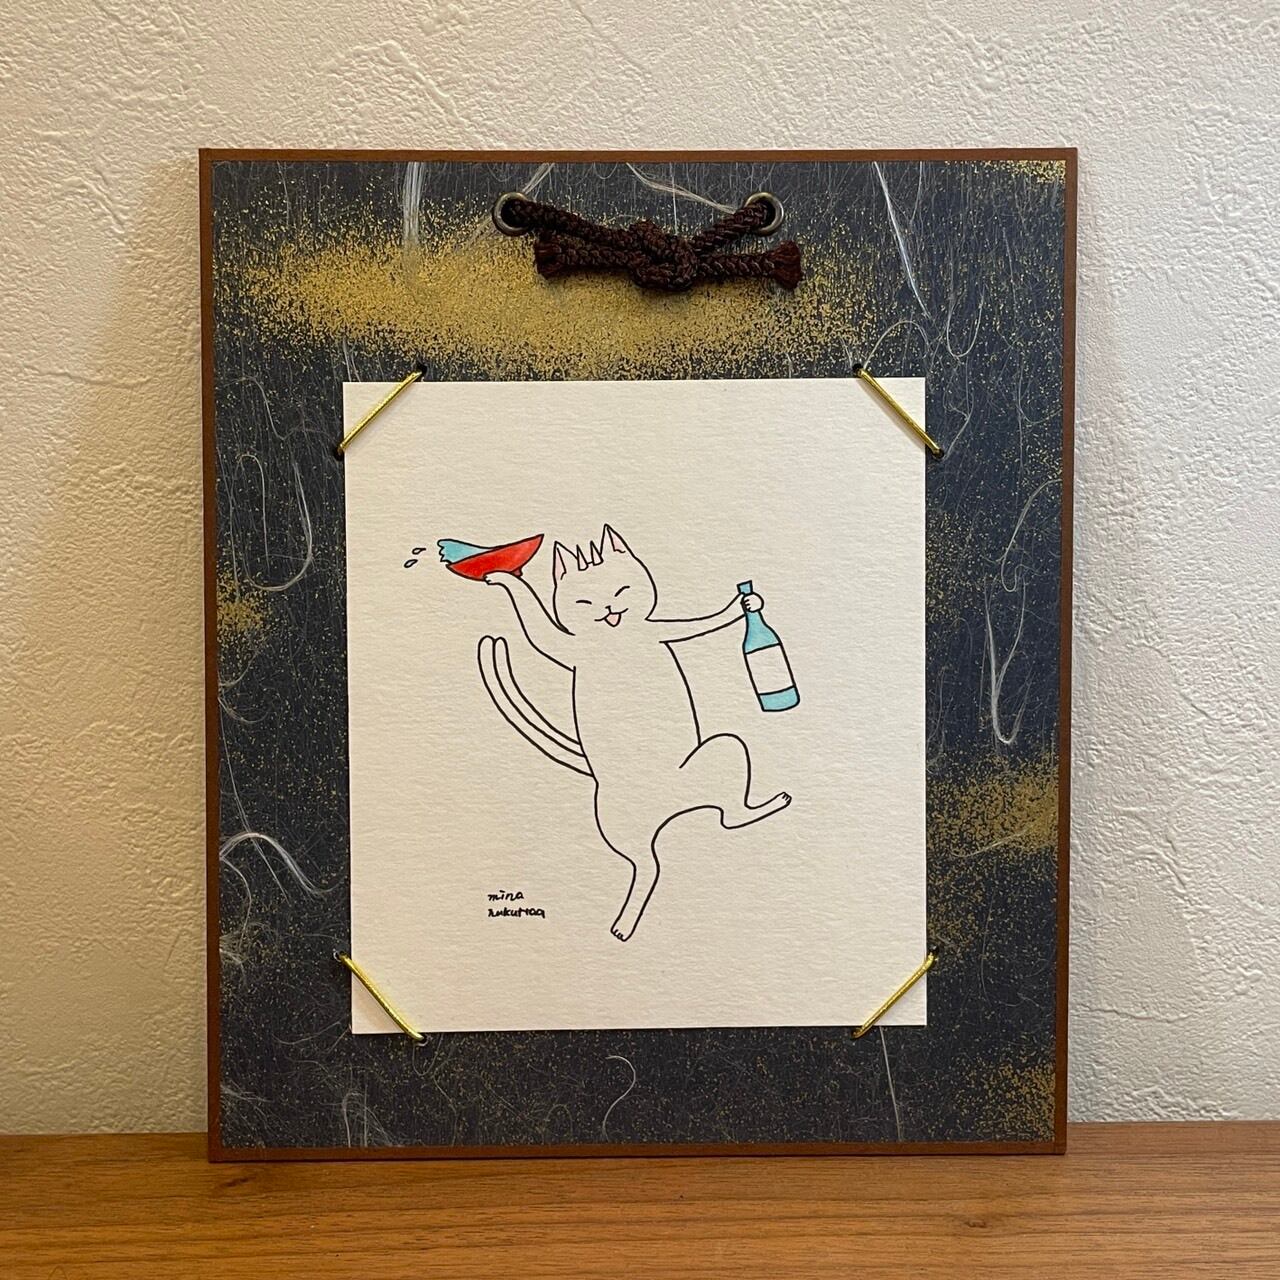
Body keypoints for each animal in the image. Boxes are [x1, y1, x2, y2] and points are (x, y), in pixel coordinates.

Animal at [477, 524, 790, 941]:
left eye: (622, 589)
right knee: (646, 866)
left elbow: (698, 624)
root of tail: (671, 810)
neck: (616, 637)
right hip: (617, 822)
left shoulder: (658, 629)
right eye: (584, 601)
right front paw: (502, 578)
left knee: (729, 817)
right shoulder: (567, 646)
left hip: (724, 752)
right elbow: (537, 627)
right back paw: (624, 925)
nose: (610, 610)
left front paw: (744, 604)